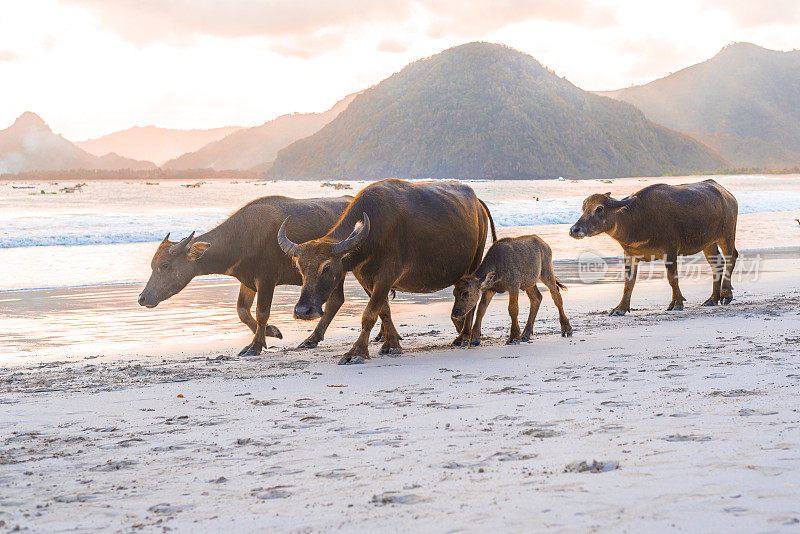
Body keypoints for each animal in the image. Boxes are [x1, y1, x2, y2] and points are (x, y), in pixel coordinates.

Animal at [138, 197, 354, 356]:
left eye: (165, 265)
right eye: (152, 265)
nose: (142, 298)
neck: (243, 238)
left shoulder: (267, 279)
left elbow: (261, 312)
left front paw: (256, 346)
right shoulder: (247, 282)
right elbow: (242, 311)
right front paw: (271, 332)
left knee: (335, 301)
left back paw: (312, 338)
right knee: (337, 301)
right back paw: (311, 339)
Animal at [278, 178, 496, 366]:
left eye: (327, 267)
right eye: (300, 268)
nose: (303, 311)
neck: (373, 233)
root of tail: (477, 203)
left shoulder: (387, 276)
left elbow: (369, 314)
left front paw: (356, 352)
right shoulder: (365, 279)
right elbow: (384, 311)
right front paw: (391, 344)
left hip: (475, 262)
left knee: (471, 297)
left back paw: (465, 337)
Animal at [568, 178, 736, 316]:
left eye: (599, 209)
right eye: (583, 209)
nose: (574, 229)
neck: (639, 220)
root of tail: (727, 195)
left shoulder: (670, 251)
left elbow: (672, 278)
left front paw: (677, 303)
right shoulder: (629, 255)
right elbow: (628, 283)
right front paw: (620, 308)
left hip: (727, 235)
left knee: (731, 257)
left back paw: (726, 294)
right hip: (709, 242)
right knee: (717, 264)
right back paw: (712, 299)